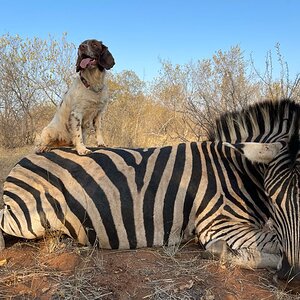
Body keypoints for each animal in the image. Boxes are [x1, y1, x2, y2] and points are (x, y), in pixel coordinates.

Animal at [0, 98, 298, 284]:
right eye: (273, 198)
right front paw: (229, 254)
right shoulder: (219, 224)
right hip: (29, 217)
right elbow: (275, 241)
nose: (291, 277)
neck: (235, 169)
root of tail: (25, 159)